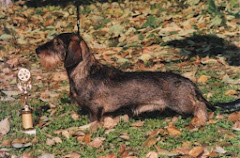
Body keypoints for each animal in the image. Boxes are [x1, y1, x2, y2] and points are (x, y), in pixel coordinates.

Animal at [36, 33, 240, 126]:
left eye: (57, 43)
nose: (37, 50)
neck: (85, 73)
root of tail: (188, 81)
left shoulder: (95, 109)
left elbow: (94, 121)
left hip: (183, 104)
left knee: (200, 105)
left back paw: (200, 119)